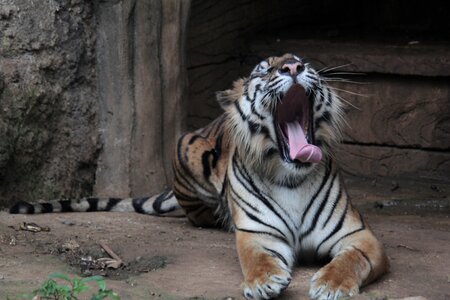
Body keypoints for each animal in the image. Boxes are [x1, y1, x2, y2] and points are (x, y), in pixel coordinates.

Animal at [10, 52, 390, 298]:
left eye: (305, 63)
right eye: (264, 70)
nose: (294, 66)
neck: (290, 176)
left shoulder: (358, 236)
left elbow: (351, 260)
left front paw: (331, 284)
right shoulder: (258, 235)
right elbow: (259, 260)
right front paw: (263, 282)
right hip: (185, 148)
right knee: (198, 215)